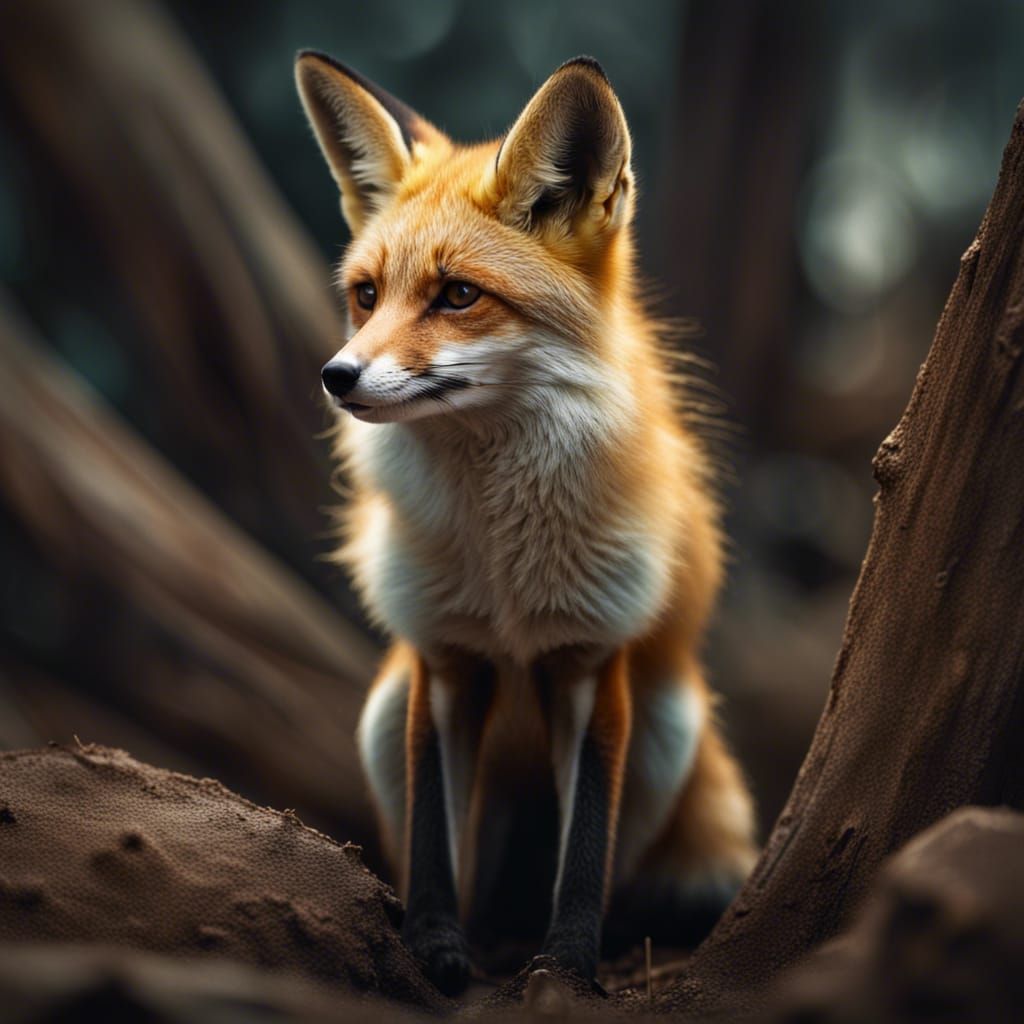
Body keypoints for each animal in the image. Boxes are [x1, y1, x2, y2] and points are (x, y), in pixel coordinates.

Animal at [295, 51, 757, 995]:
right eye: (366, 295)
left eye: (457, 295)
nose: (337, 376)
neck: (504, 565)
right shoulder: (440, 656)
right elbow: (434, 844)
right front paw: (434, 950)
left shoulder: (591, 656)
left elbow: (582, 851)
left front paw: (568, 967)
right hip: (382, 714)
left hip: (670, 724)